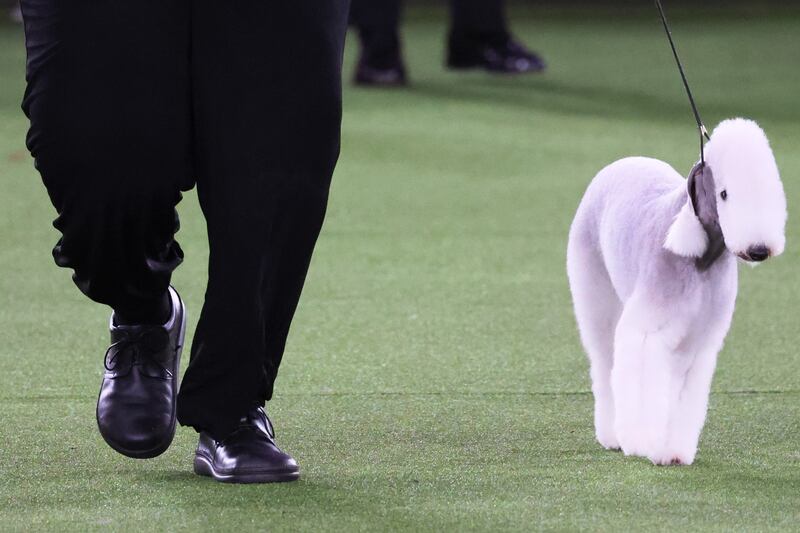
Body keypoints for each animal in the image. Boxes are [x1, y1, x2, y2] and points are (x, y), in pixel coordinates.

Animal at [568, 118, 788, 464]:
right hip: (595, 291)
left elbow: (683, 399)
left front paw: (672, 452)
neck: (701, 258)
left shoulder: (701, 337)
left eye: (770, 188)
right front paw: (643, 443)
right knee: (604, 361)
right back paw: (612, 436)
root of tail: (623, 162)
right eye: (724, 193)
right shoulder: (648, 330)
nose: (758, 249)